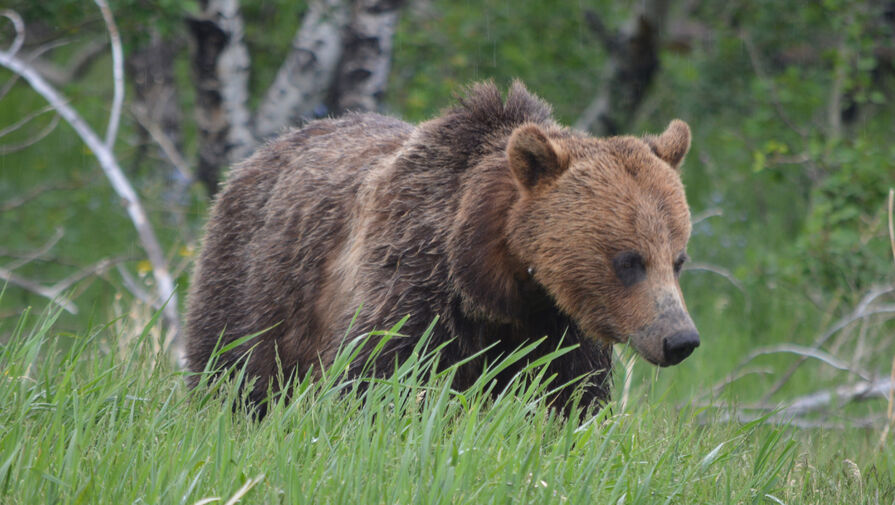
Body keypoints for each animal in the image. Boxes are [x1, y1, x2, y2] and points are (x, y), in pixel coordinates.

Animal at [184, 81, 699, 412]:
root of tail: (265, 149)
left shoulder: (557, 326)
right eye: (628, 260)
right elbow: (382, 380)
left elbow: (567, 397)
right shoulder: (414, 283)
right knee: (235, 371)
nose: (680, 339)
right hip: (258, 282)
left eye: (677, 259)